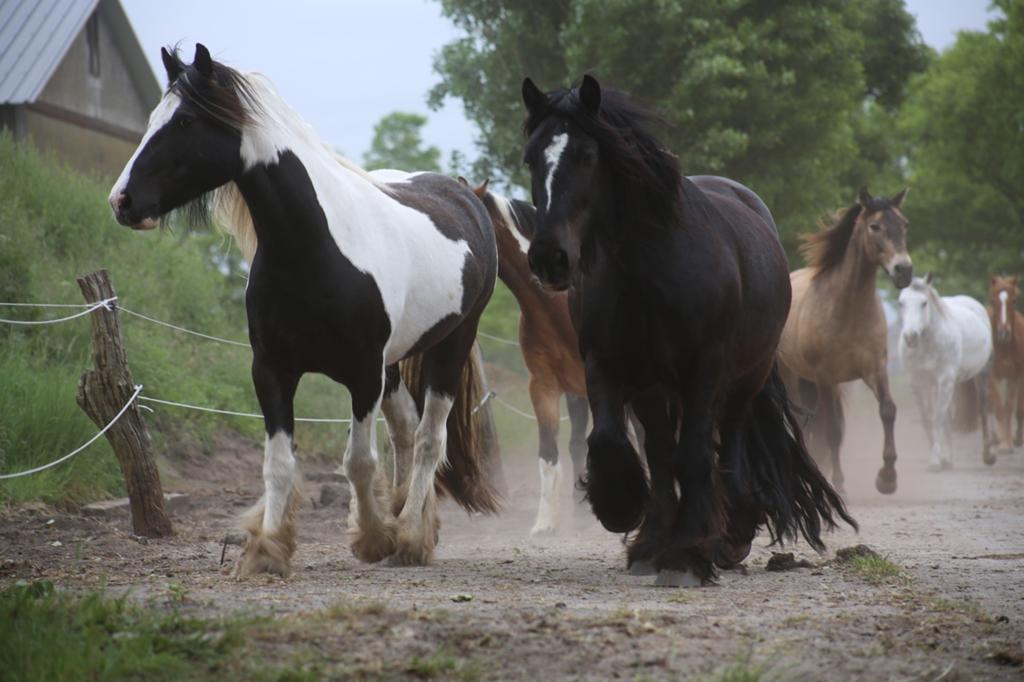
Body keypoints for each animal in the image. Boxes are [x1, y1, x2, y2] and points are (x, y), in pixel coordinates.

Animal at [108, 44, 499, 577]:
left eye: (185, 121)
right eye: (153, 118)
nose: (121, 201)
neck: (315, 250)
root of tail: (465, 194)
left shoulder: (362, 374)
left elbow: (358, 461)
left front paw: (373, 538)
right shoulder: (272, 369)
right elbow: (279, 463)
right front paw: (268, 548)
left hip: (450, 345)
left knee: (427, 439)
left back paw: (412, 537)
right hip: (395, 362)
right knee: (404, 429)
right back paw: (407, 516)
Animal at [520, 75, 854, 586]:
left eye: (587, 155)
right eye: (531, 158)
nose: (549, 258)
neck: (649, 269)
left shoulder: (705, 369)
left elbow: (695, 455)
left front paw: (689, 554)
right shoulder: (608, 365)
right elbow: (613, 441)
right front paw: (623, 509)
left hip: (745, 378)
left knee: (727, 445)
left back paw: (732, 532)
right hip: (657, 388)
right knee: (661, 451)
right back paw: (654, 542)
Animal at [778, 187, 913, 495]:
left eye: (903, 224)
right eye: (875, 226)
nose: (904, 271)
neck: (849, 309)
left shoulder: (875, 370)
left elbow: (888, 410)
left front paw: (887, 477)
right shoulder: (826, 376)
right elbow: (833, 430)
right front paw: (838, 482)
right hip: (794, 376)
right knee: (804, 422)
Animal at [897, 275, 994, 469]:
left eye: (924, 303)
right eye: (901, 303)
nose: (911, 336)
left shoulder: (945, 380)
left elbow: (938, 418)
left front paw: (935, 461)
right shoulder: (917, 382)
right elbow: (927, 418)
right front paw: (940, 457)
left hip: (980, 374)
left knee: (983, 410)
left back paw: (987, 456)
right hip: (944, 385)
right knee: (949, 417)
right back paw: (948, 459)